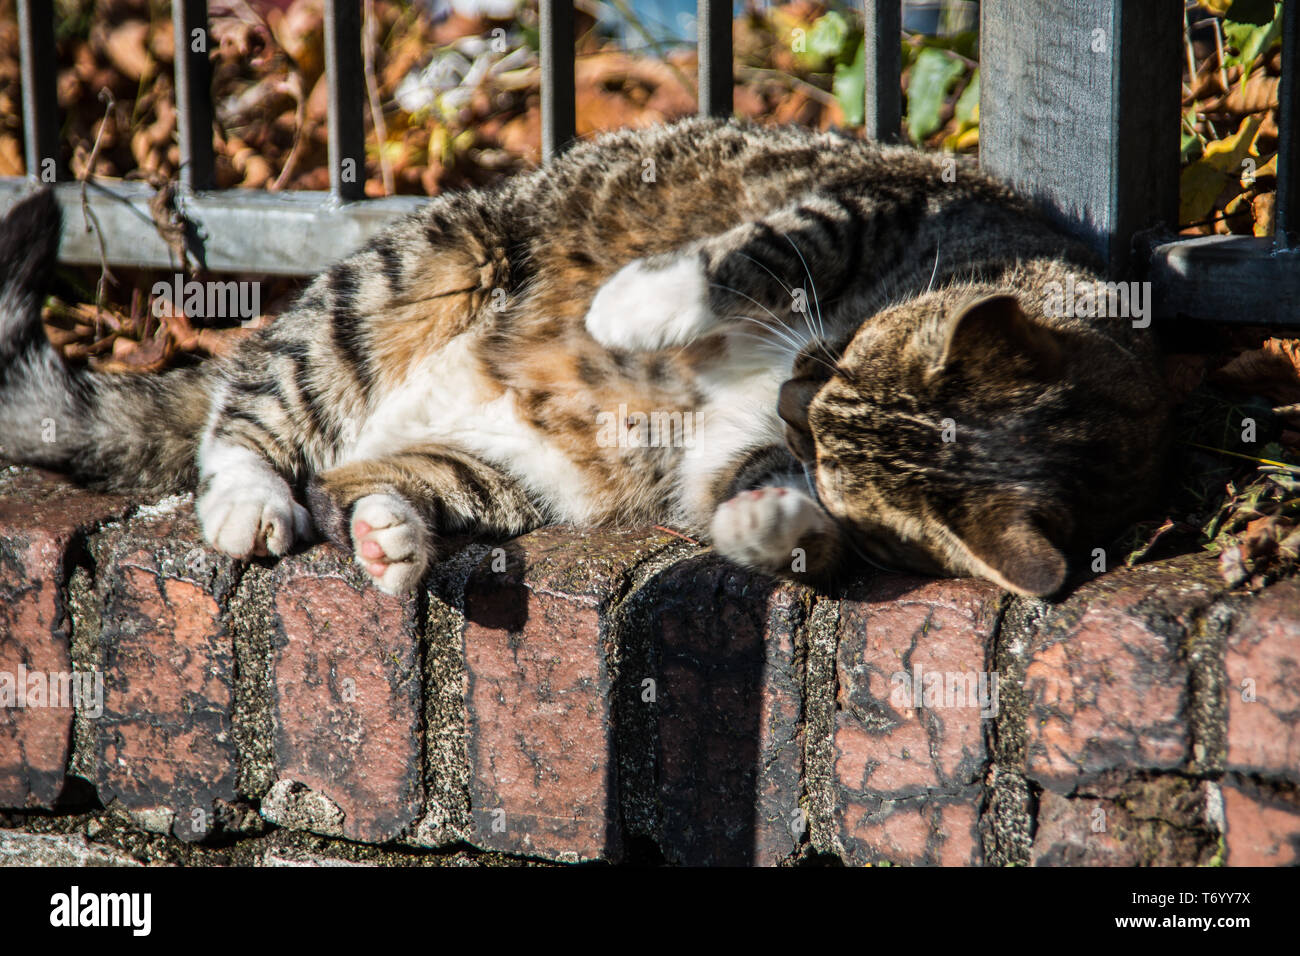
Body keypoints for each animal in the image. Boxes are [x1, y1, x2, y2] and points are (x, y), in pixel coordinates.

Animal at [0, 119, 1170, 598]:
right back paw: (250, 497)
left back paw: (389, 537)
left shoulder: (735, 459)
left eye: (828, 443)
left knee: (357, 480)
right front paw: (645, 303)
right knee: (249, 404)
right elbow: (775, 242)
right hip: (424, 265)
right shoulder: (888, 198)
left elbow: (766, 505)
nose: (794, 394)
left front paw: (777, 527)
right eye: (838, 358)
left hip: (518, 473)